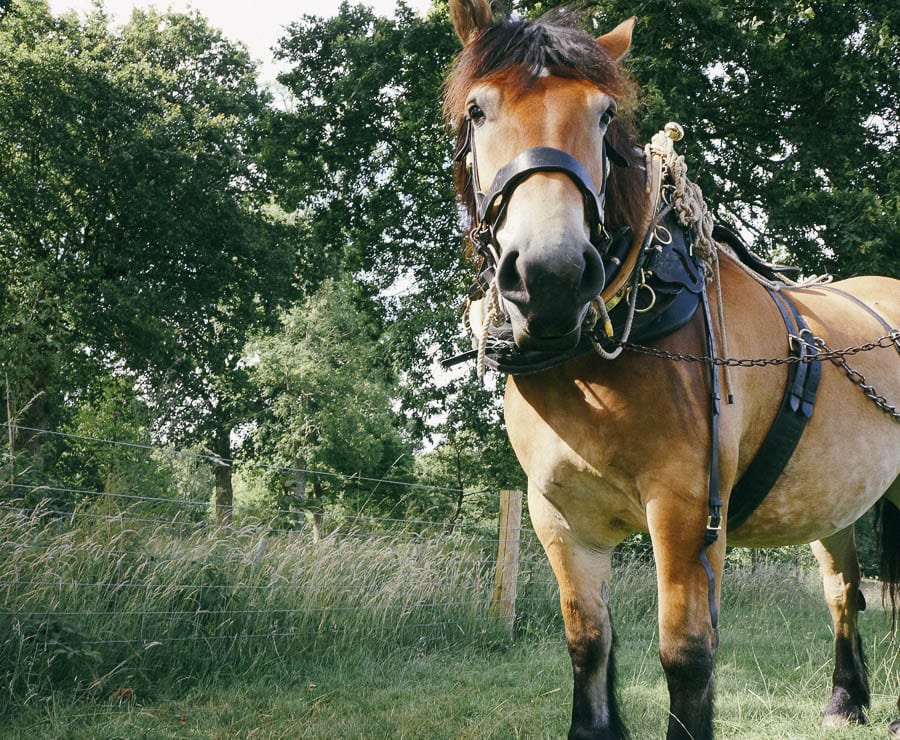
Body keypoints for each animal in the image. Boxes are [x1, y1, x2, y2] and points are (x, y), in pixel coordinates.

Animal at [442, 2, 900, 736]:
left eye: (603, 115)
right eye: (479, 110)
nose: (551, 275)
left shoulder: (688, 508)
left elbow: (686, 652)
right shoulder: (558, 515)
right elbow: (588, 640)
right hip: (839, 502)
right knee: (843, 588)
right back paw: (846, 699)